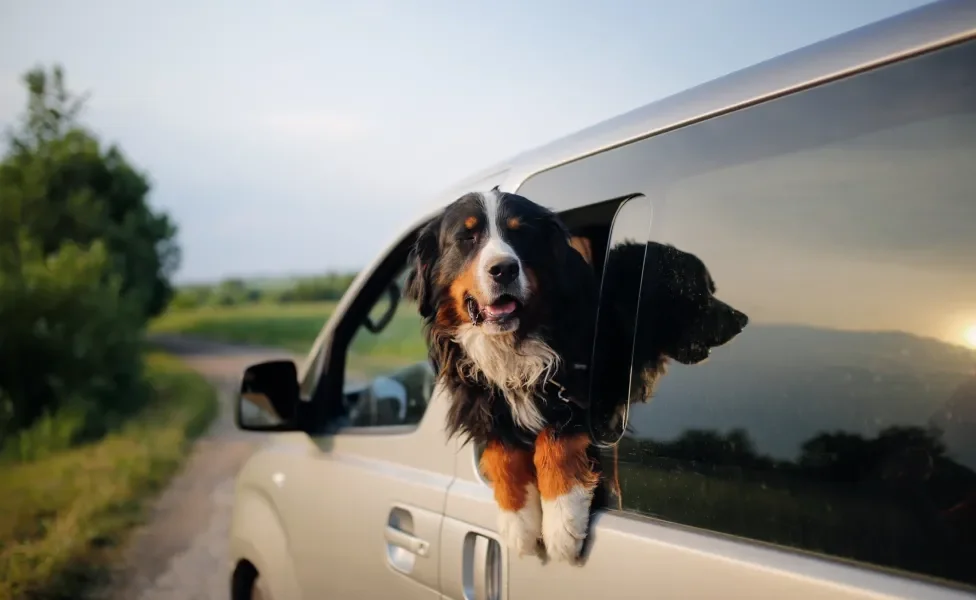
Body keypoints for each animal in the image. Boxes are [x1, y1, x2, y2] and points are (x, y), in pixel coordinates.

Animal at [404, 188, 748, 564]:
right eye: (467, 237)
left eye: (520, 234)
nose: (504, 268)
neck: (515, 344)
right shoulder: (480, 400)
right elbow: (502, 452)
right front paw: (517, 523)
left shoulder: (584, 395)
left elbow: (555, 442)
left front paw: (561, 524)